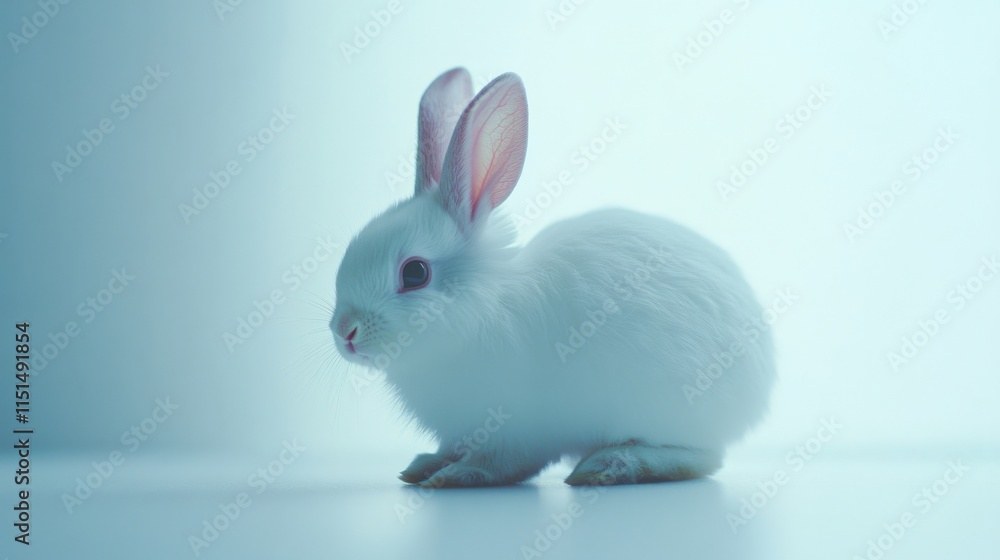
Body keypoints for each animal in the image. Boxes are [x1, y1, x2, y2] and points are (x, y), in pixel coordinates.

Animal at [330, 67, 776, 487]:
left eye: (415, 273)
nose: (345, 332)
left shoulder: (517, 427)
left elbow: (501, 463)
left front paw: (455, 476)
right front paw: (423, 466)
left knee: (700, 458)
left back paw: (610, 465)